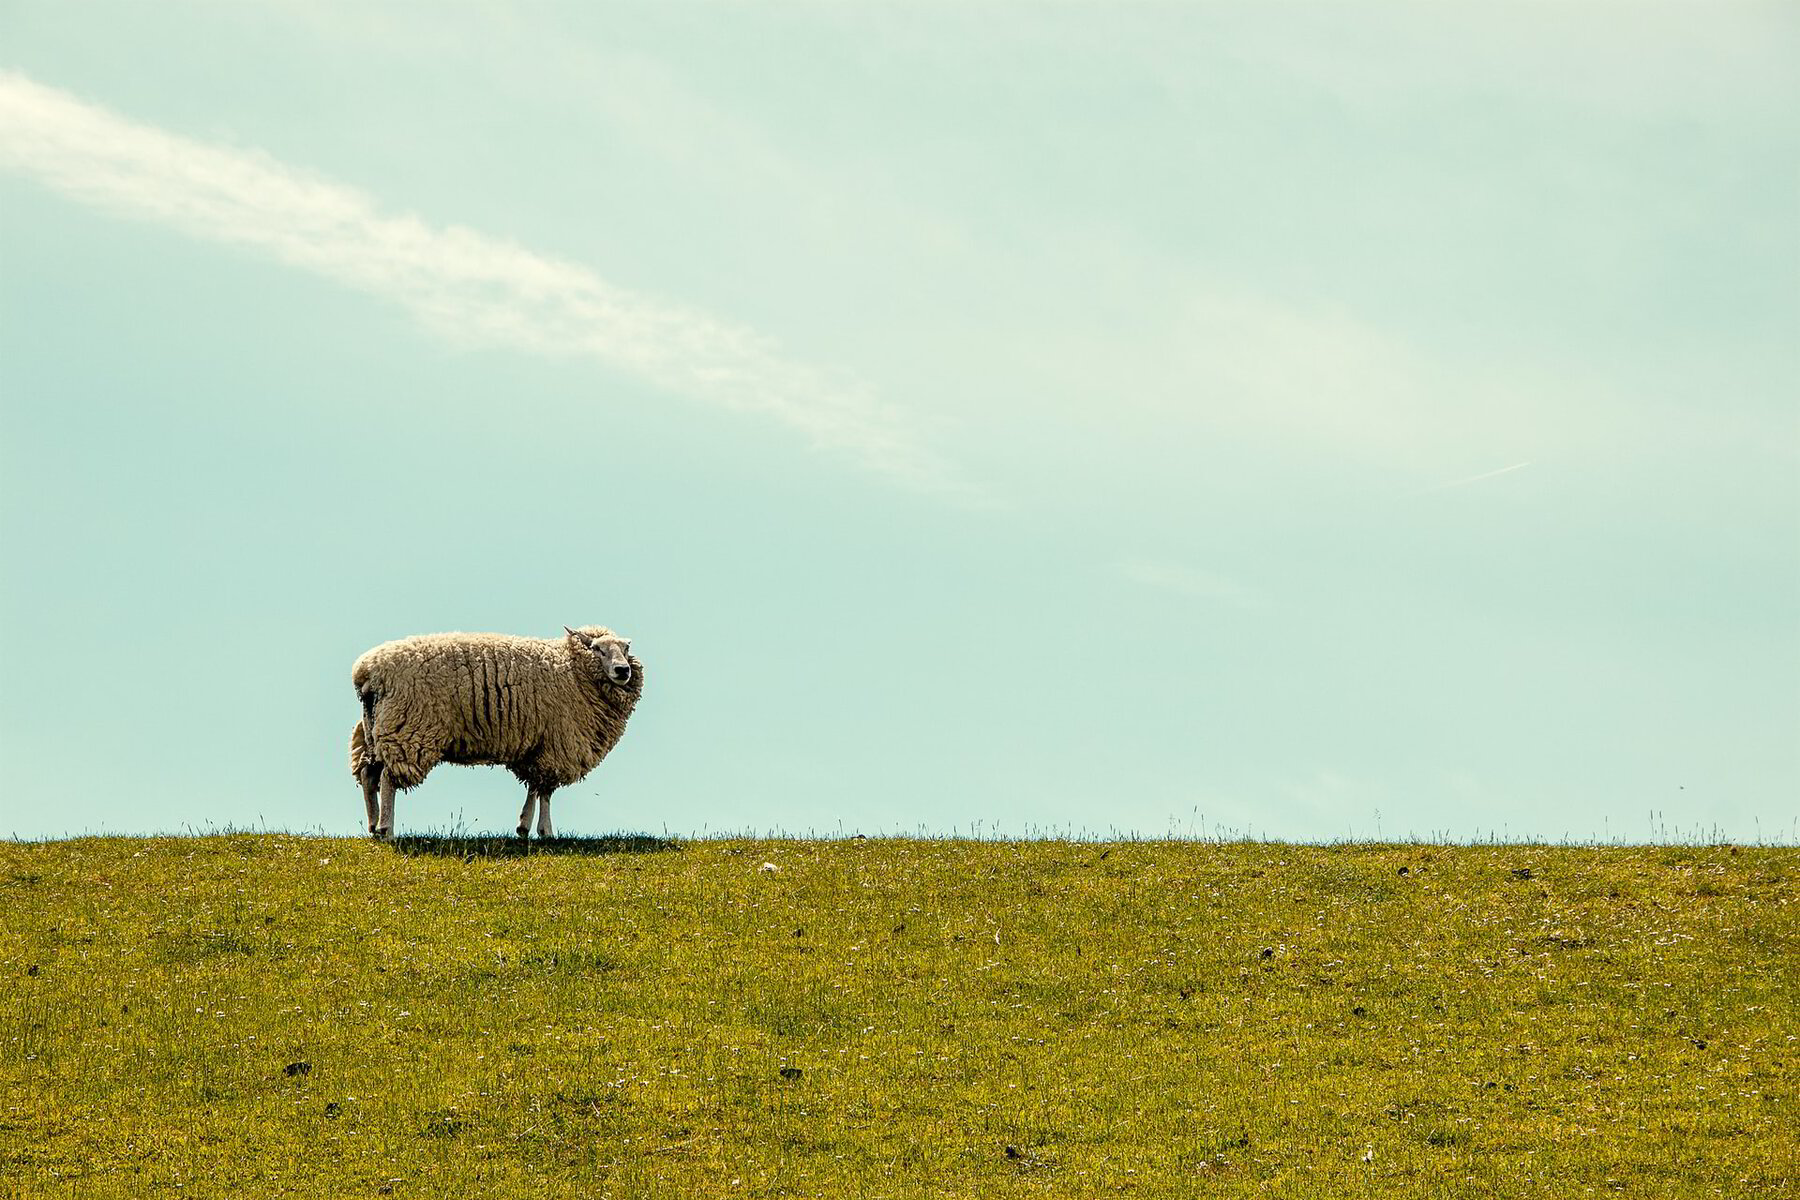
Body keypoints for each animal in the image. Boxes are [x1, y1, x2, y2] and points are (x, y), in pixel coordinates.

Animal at [349, 625, 643, 840]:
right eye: (597, 649)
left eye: (626, 648)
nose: (623, 670)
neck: (572, 669)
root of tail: (366, 672)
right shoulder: (556, 745)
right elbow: (546, 790)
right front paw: (546, 831)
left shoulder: (535, 746)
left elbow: (534, 786)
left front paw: (524, 827)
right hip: (407, 729)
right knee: (388, 778)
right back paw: (387, 829)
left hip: (375, 729)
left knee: (368, 774)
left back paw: (373, 826)